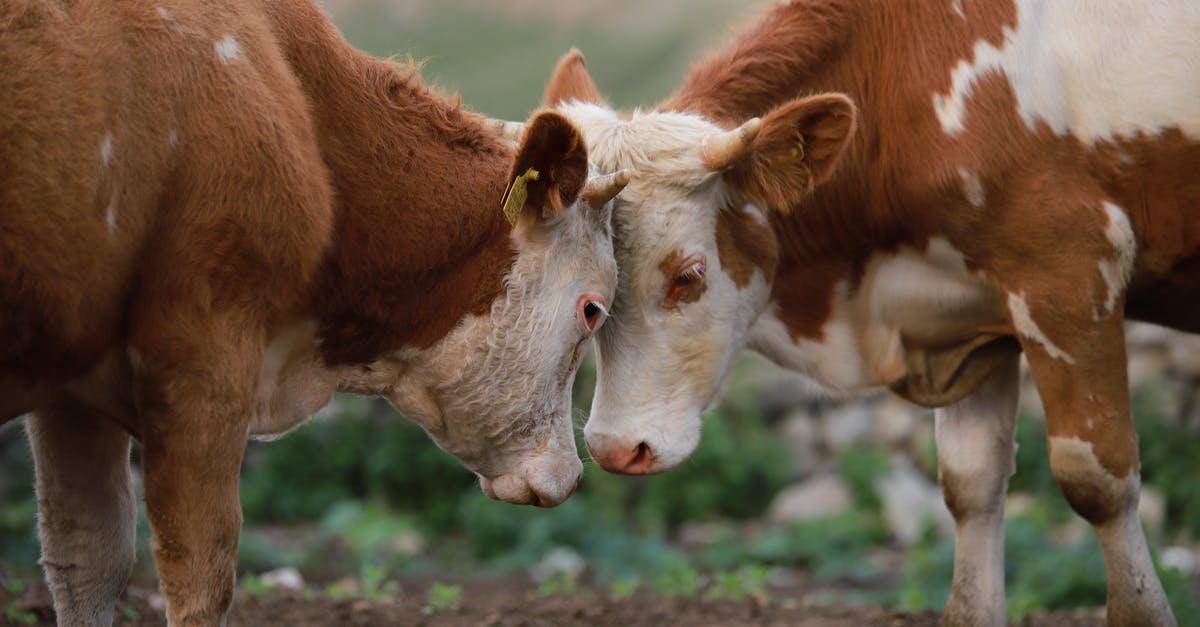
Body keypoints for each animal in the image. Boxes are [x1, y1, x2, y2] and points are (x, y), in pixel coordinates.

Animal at [2, 0, 628, 619]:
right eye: (593, 309)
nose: (570, 475)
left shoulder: (73, 387)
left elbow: (89, 559)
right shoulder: (202, 359)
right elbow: (200, 569)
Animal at [537, 1, 1200, 624]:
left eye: (688, 276)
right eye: (593, 301)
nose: (615, 448)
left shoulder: (1069, 269)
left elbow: (1097, 481)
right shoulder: (972, 318)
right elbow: (973, 483)